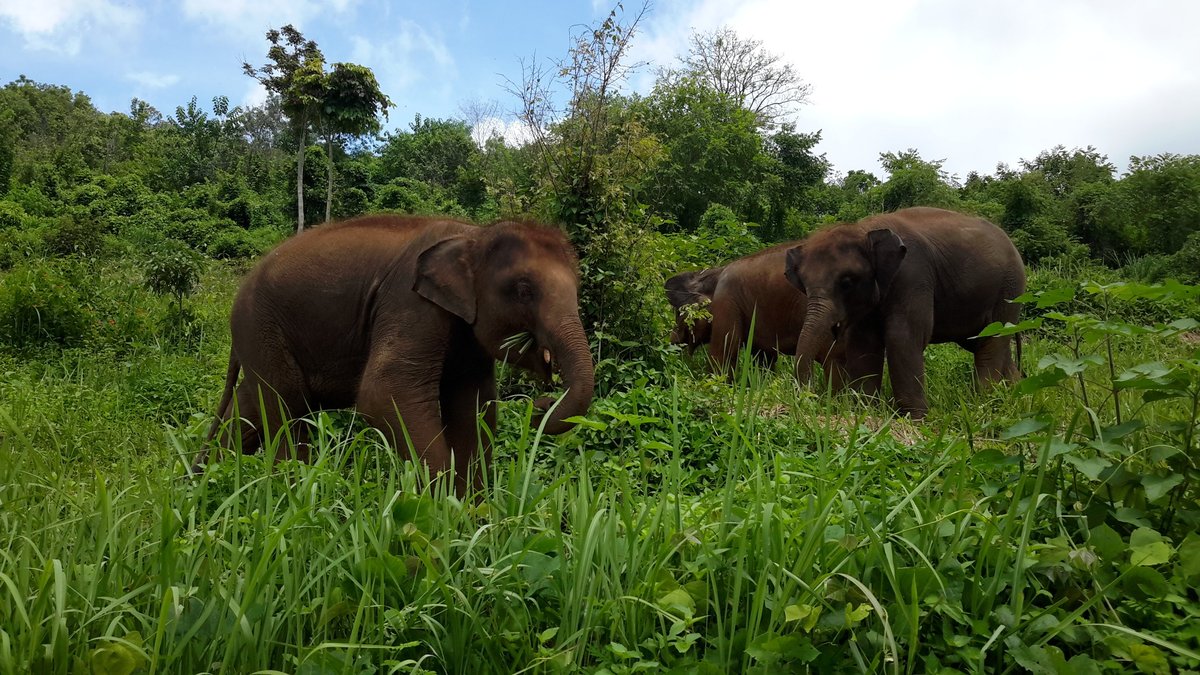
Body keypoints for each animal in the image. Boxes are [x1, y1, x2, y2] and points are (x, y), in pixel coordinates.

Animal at [193, 212, 600, 492]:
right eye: (524, 290)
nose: (540, 406)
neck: (473, 235)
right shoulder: (409, 302)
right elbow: (384, 393)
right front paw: (440, 515)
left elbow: (473, 407)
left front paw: (473, 518)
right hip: (262, 326)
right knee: (287, 408)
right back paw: (293, 491)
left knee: (249, 409)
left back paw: (205, 483)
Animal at [782, 205, 1027, 417]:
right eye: (803, 285)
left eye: (847, 282)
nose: (809, 397)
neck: (864, 230)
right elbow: (863, 342)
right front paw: (865, 412)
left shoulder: (912, 275)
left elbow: (903, 337)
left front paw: (915, 419)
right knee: (981, 342)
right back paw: (1013, 396)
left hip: (1010, 288)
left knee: (993, 339)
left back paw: (985, 403)